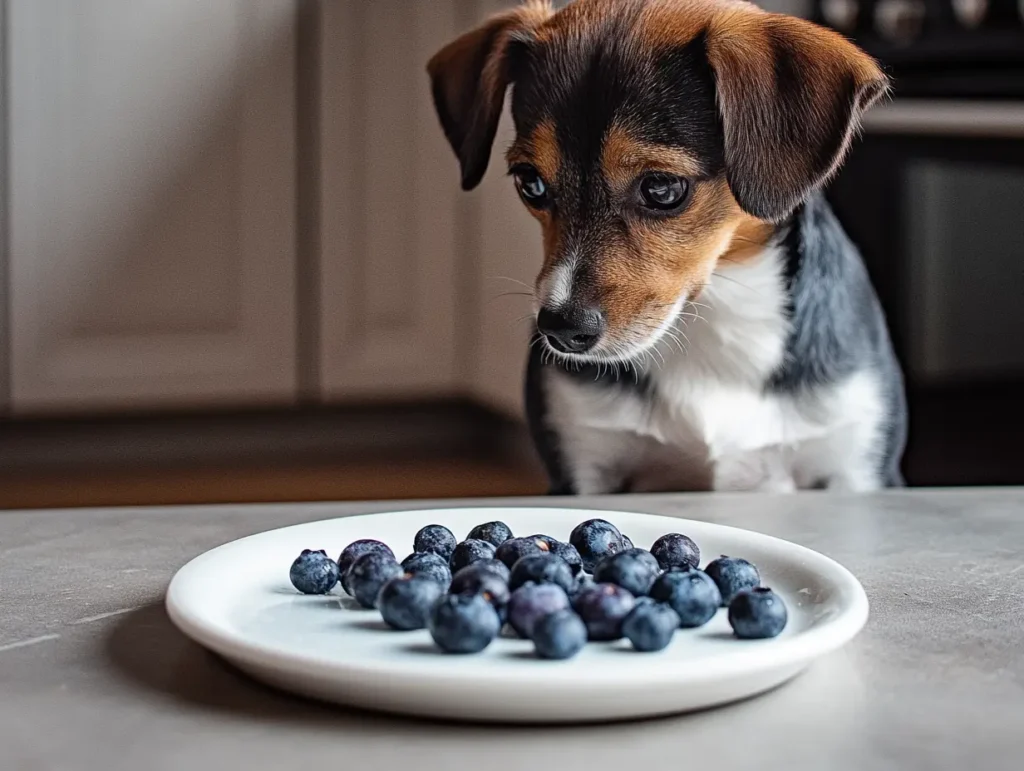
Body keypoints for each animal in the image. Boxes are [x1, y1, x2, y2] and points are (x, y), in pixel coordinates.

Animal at [428, 0, 909, 493]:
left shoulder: (857, 468)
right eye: (531, 183)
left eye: (662, 188)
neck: (715, 314)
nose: (561, 330)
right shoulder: (583, 468)